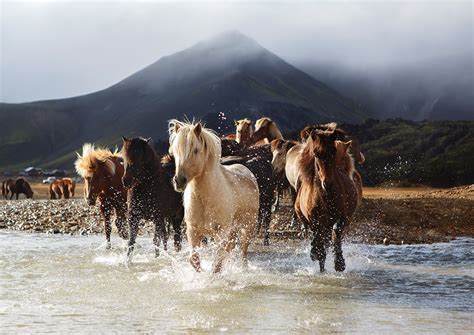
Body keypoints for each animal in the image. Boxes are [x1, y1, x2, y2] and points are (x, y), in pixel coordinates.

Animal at [168, 120, 260, 272]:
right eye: (175, 151)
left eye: (195, 150)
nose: (179, 181)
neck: (206, 198)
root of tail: (248, 172)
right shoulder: (193, 231)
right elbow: (194, 259)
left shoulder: (221, 233)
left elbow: (217, 263)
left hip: (247, 227)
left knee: (243, 252)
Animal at [294, 130, 358, 274]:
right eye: (316, 153)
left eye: (333, 151)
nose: (327, 184)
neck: (326, 197)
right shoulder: (315, 221)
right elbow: (320, 246)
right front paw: (319, 261)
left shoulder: (342, 218)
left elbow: (336, 234)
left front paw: (339, 264)